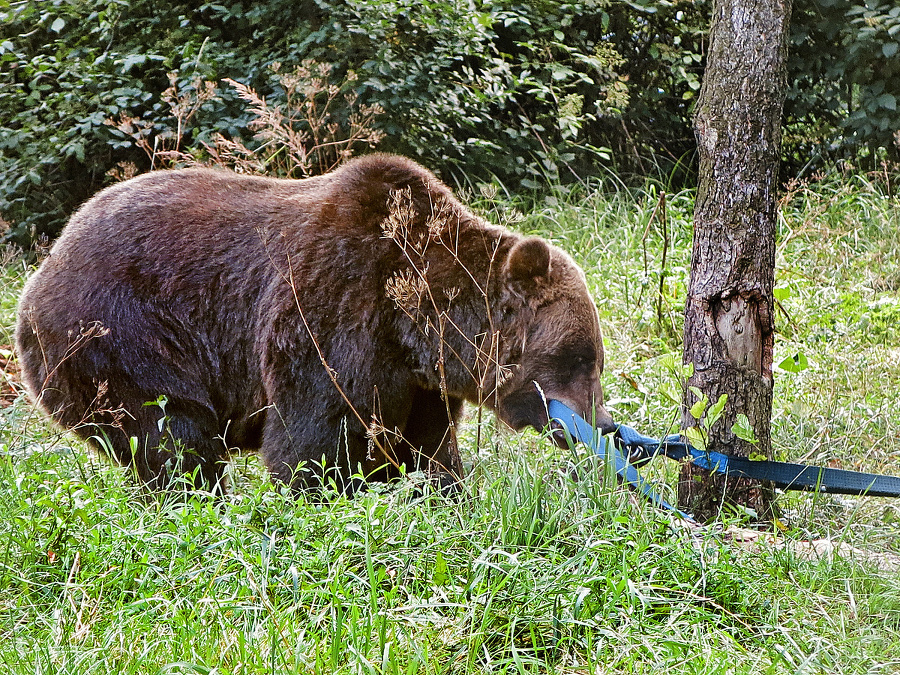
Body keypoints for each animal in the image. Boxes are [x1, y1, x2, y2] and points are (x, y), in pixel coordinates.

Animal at [15, 156, 620, 496]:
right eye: (578, 357)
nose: (601, 423)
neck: (419, 325)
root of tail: (43, 269)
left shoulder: (419, 381)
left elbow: (427, 449)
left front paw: (442, 493)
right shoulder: (334, 309)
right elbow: (316, 440)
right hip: (118, 334)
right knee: (173, 435)